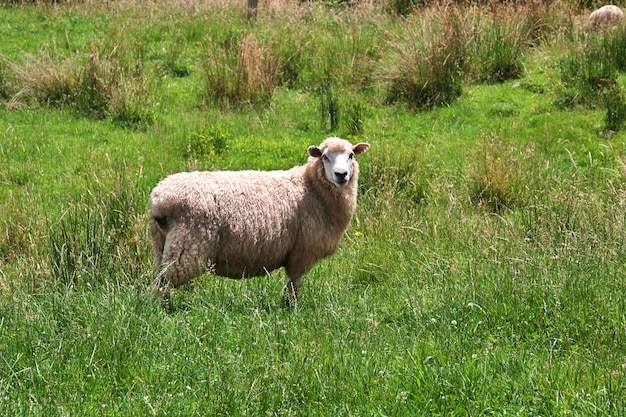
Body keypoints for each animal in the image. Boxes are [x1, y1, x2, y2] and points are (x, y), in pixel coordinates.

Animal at [148, 138, 368, 304]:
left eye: (351, 155)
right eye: (324, 156)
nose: (341, 175)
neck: (310, 187)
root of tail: (159, 198)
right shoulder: (302, 252)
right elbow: (294, 285)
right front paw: (291, 309)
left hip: (162, 244)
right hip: (186, 247)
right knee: (161, 283)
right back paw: (161, 312)